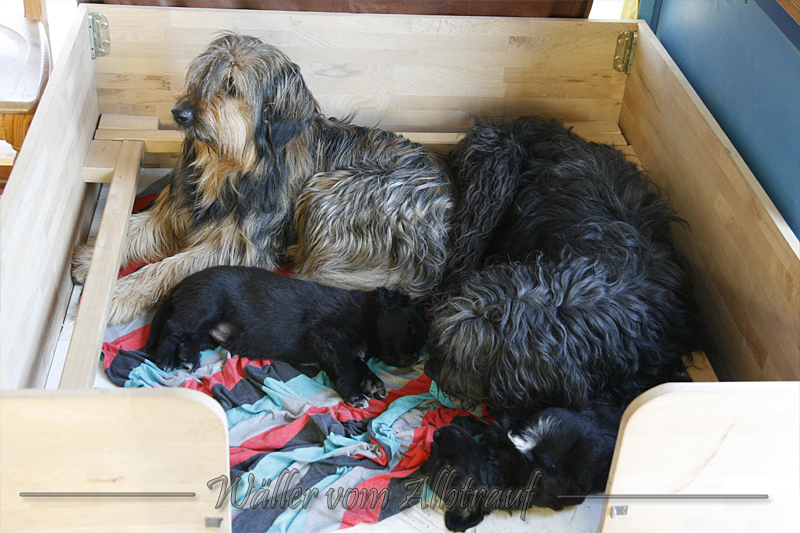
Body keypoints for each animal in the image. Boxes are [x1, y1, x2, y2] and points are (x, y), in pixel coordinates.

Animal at [71, 33, 452, 324]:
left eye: (231, 86)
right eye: (201, 77)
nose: (179, 113)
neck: (229, 163)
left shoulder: (237, 247)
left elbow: (167, 267)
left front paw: (119, 294)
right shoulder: (180, 209)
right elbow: (137, 226)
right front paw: (91, 258)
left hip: (331, 192)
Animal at [142, 265, 426, 408]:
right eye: (411, 327)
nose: (414, 357)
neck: (366, 314)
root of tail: (180, 284)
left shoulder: (346, 349)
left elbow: (360, 365)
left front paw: (373, 383)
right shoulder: (329, 338)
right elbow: (345, 370)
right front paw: (356, 395)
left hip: (210, 332)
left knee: (189, 338)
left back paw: (188, 357)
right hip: (206, 305)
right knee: (173, 326)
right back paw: (166, 358)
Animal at [421, 403, 621, 531]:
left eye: (431, 449)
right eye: (446, 464)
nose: (437, 433)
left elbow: (497, 425)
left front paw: (467, 422)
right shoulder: (562, 483)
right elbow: (589, 453)